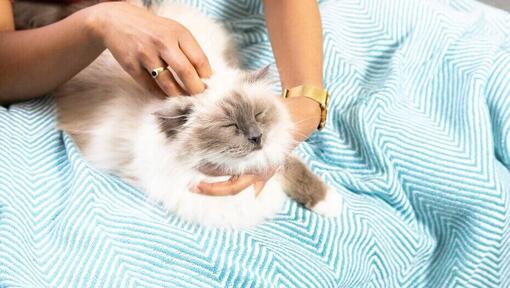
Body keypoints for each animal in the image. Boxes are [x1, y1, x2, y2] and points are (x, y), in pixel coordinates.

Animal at [15, 0, 344, 227]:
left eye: (259, 115)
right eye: (229, 126)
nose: (256, 137)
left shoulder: (275, 156)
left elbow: (293, 169)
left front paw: (330, 204)